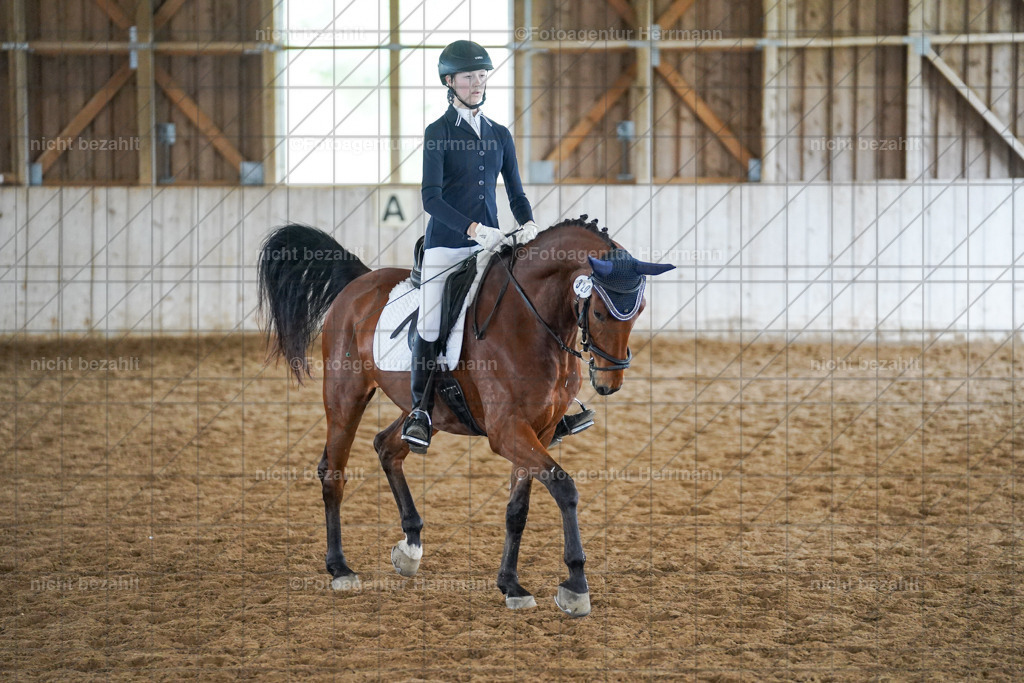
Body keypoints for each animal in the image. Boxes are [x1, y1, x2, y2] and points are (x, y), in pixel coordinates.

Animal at [257, 216, 674, 617]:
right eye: (600, 312)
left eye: (639, 311)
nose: (609, 383)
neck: (532, 321)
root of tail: (360, 281)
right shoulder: (508, 432)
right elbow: (564, 488)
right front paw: (575, 586)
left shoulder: (538, 431)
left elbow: (517, 510)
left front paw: (511, 585)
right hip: (346, 395)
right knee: (334, 471)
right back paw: (340, 569)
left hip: (428, 412)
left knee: (387, 446)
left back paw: (410, 547)